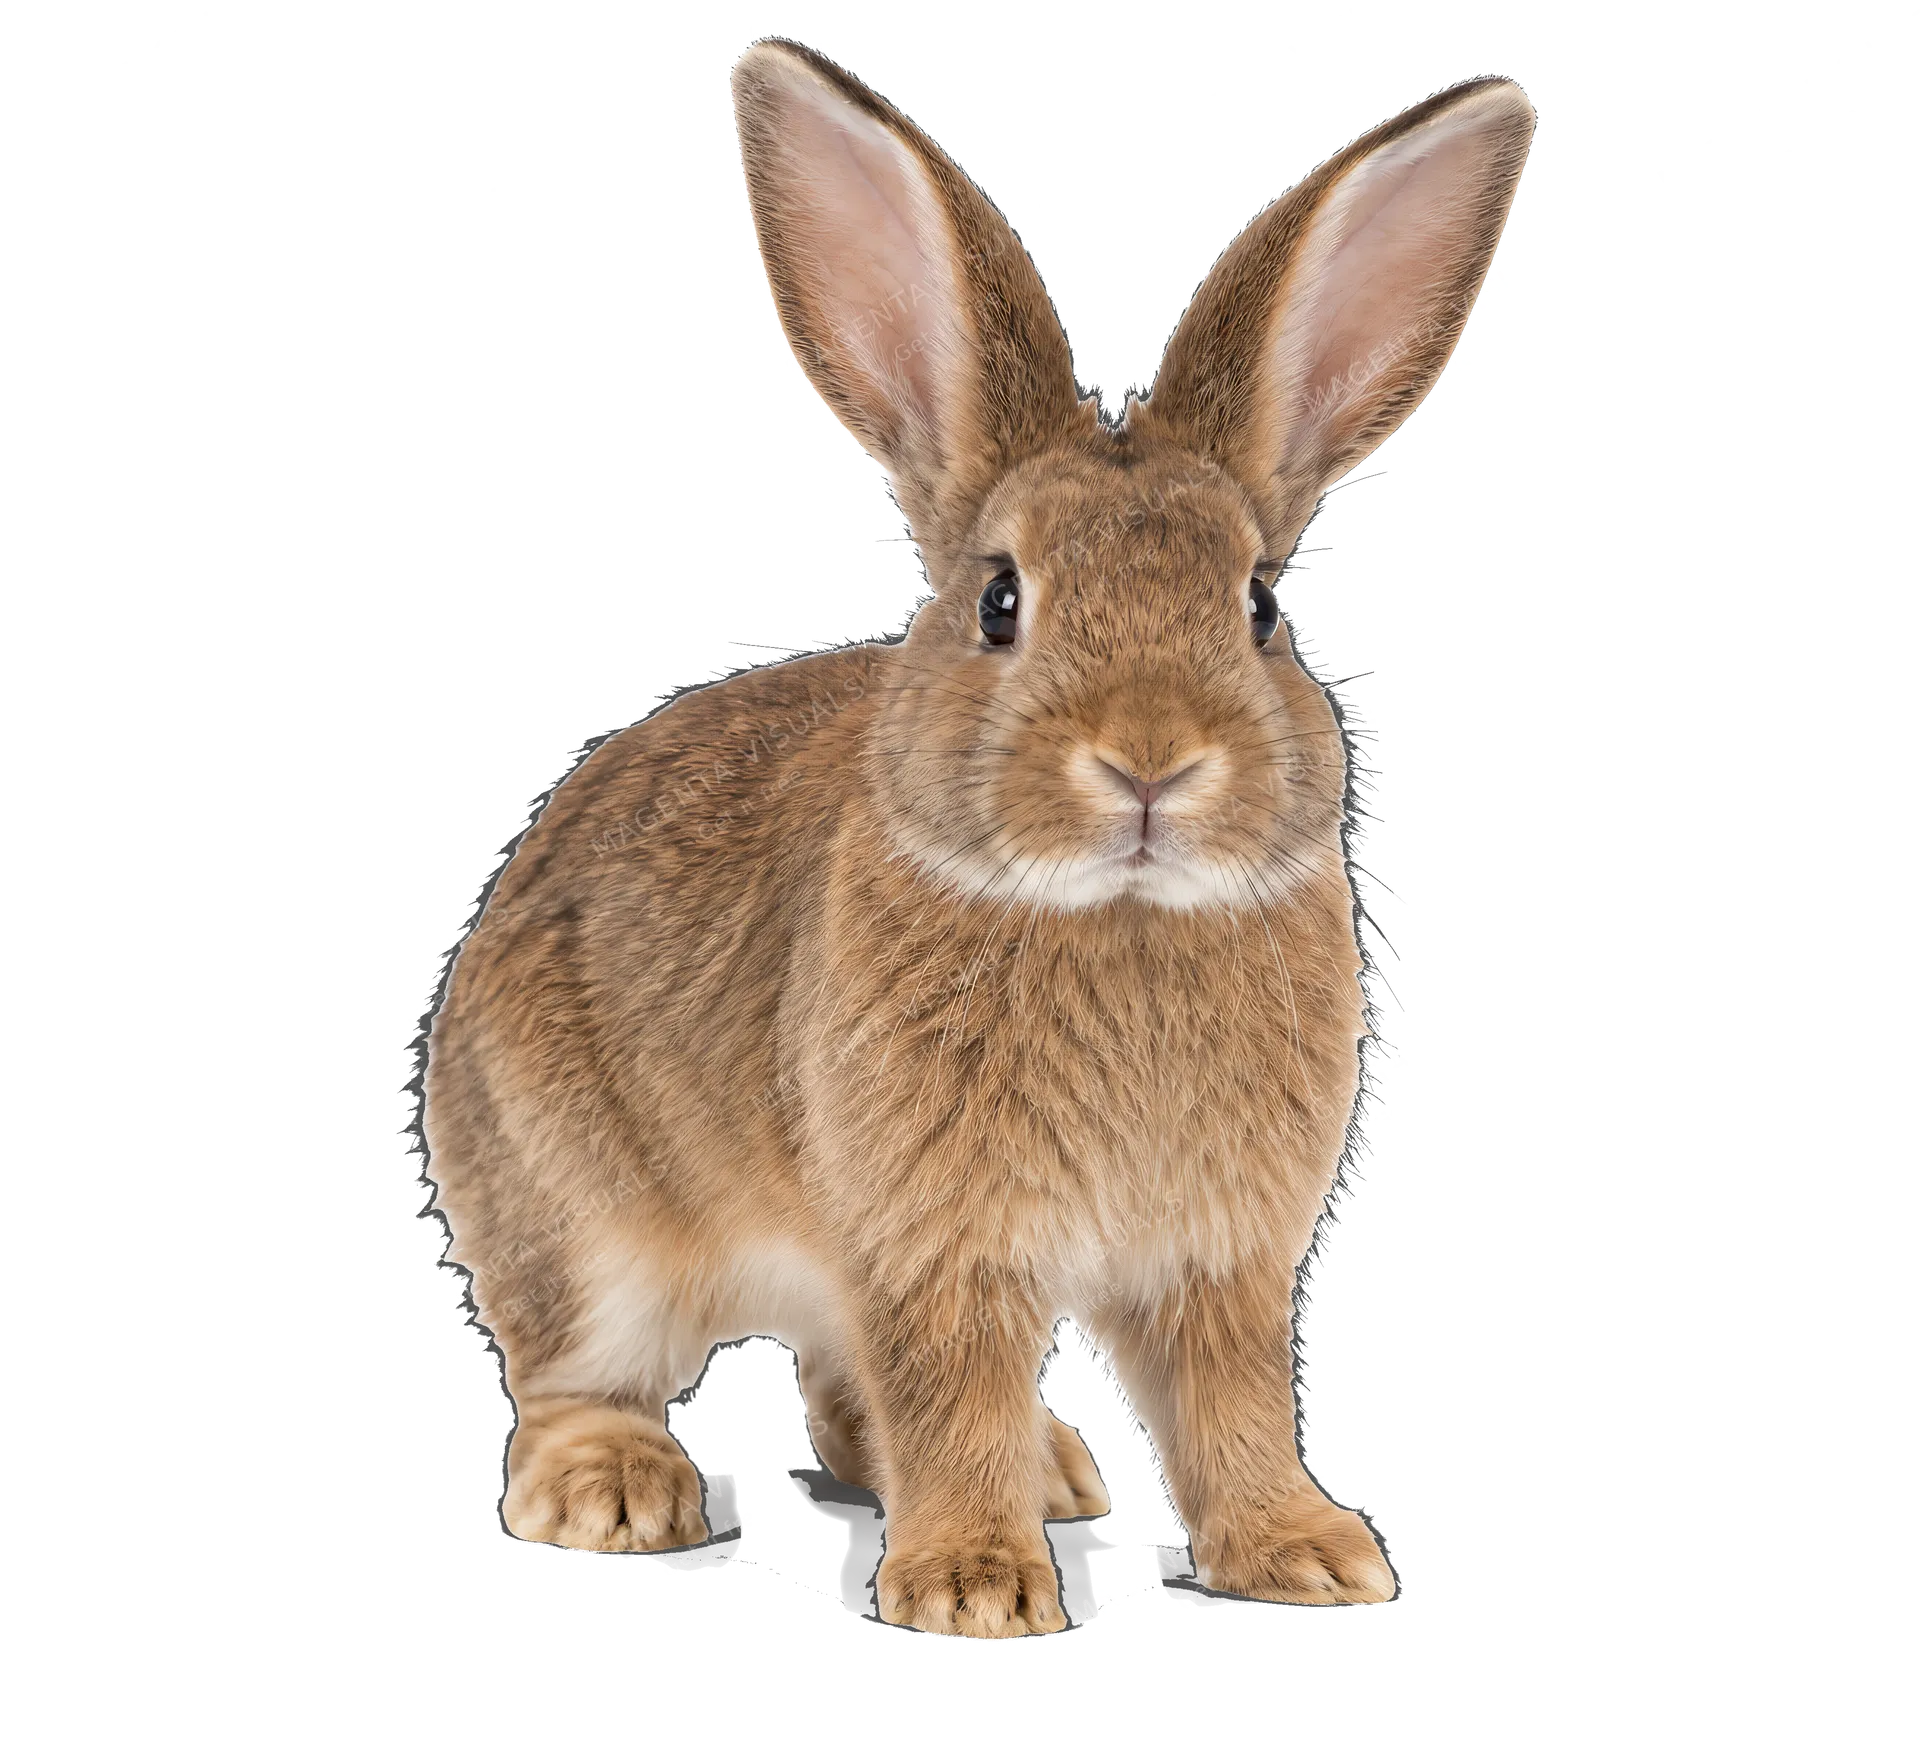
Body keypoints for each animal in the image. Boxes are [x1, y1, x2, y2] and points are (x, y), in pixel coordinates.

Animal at [423, 36, 1534, 1635]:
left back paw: (1057, 1467)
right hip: (576, 1219)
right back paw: (615, 1491)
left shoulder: (1218, 1259)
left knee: (841, 1391)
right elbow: (947, 1392)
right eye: (1000, 601)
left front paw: (1309, 1557)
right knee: (580, 1369)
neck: (1117, 913)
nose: (1149, 760)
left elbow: (1232, 1407)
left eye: (1260, 606)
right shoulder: (931, 1244)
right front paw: (971, 1590)